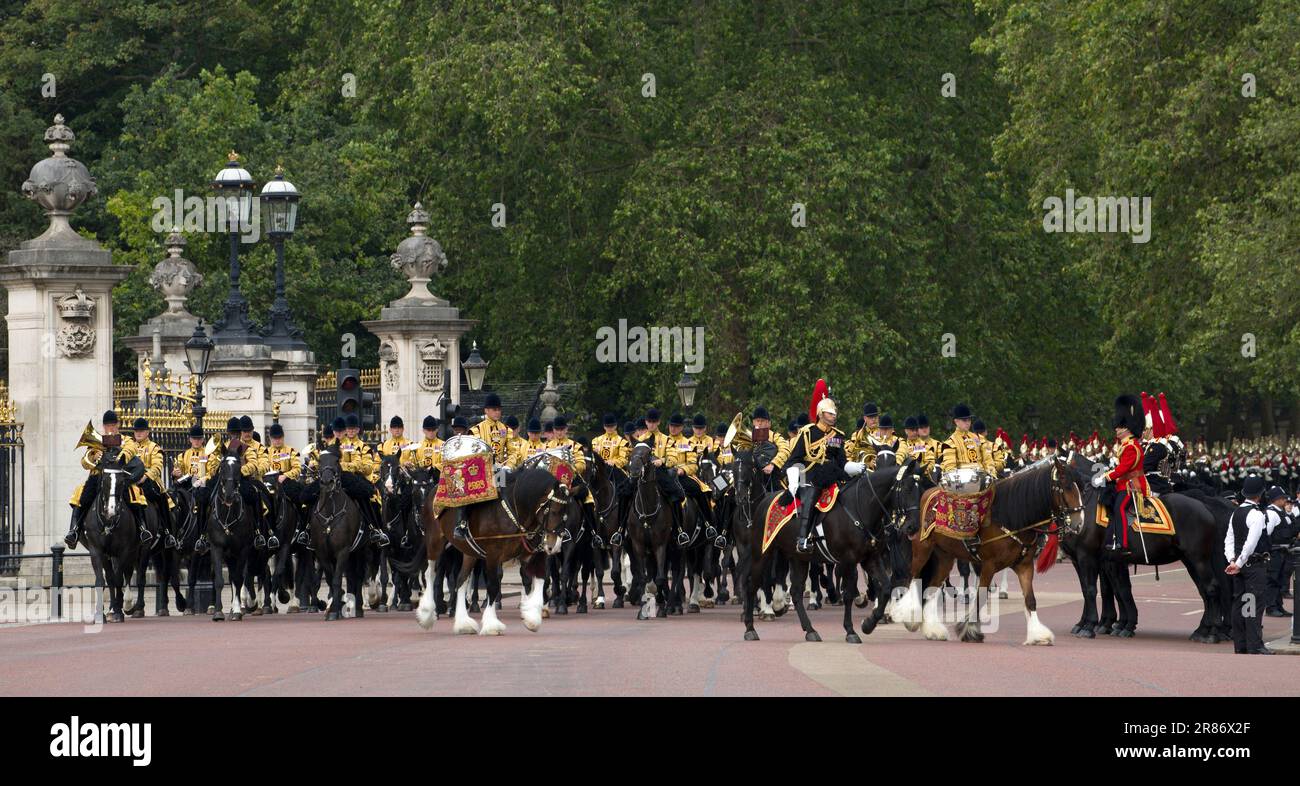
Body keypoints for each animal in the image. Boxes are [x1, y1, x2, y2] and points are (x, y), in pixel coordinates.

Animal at [894, 454, 1086, 644]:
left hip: (945, 557)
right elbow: (981, 598)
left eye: (1081, 487)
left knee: (932, 588)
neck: (1011, 516)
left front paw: (1038, 635)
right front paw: (970, 630)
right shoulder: (988, 565)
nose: (1079, 523)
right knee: (911, 577)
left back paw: (933, 630)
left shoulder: (1024, 565)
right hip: (922, 550)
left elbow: (1030, 599)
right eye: (1066, 486)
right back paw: (907, 615)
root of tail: (928, 492)